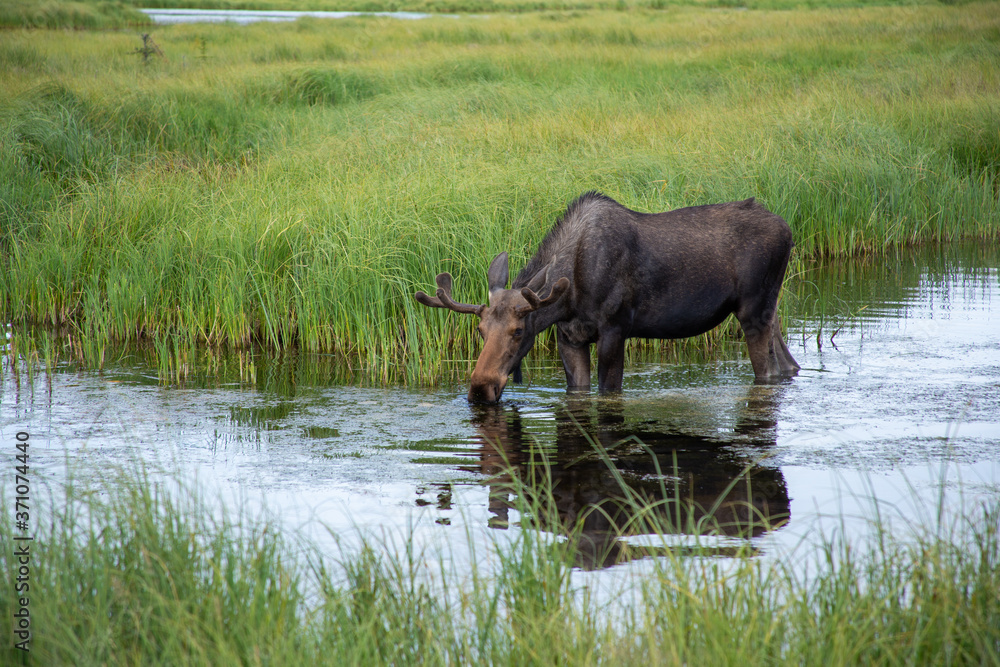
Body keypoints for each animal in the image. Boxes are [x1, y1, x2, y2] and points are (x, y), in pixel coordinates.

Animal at [414, 190, 796, 404]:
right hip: (772, 309)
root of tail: (789, 230)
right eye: (479, 332)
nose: (480, 389)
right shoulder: (569, 336)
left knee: (768, 371)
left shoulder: (615, 329)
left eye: (519, 331)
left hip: (752, 310)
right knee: (787, 362)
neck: (569, 298)